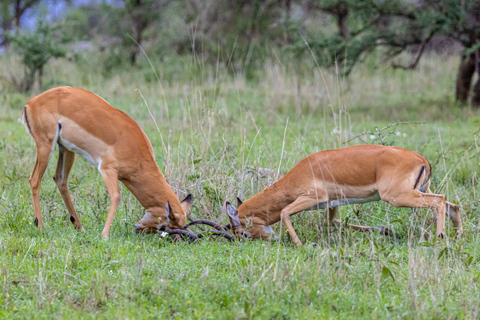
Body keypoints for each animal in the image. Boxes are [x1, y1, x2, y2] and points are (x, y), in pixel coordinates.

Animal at [22, 86, 191, 236]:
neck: (135, 146)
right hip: (46, 146)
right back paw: (40, 227)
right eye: (164, 226)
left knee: (60, 180)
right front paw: (104, 235)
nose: (139, 229)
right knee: (34, 180)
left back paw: (80, 227)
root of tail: (31, 102)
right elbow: (116, 196)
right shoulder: (107, 169)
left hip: (66, 149)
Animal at [227, 146, 464, 246]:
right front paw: (384, 231)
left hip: (398, 197)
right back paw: (457, 236)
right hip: (421, 190)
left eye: (243, 233)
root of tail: (421, 158)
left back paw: (438, 238)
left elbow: (285, 211)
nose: (271, 238)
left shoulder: (313, 198)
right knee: (452, 204)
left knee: (439, 201)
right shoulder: (332, 204)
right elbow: (335, 222)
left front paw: (299, 244)